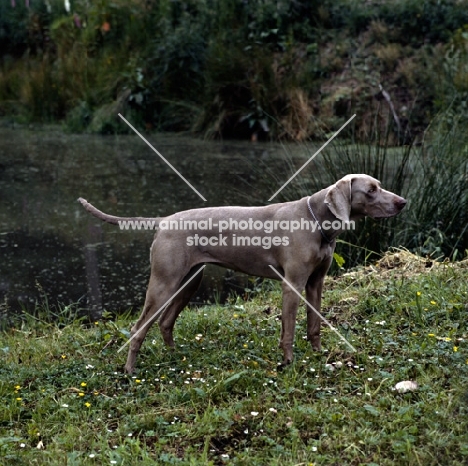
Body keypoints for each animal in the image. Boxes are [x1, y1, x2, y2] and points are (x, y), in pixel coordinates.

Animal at [79, 173, 406, 374]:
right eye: (371, 190)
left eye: (378, 185)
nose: (403, 202)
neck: (316, 221)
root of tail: (164, 220)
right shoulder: (292, 284)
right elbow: (288, 331)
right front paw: (288, 364)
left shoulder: (316, 283)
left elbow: (314, 325)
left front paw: (317, 356)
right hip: (164, 283)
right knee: (138, 328)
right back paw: (129, 370)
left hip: (189, 281)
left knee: (165, 322)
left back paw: (174, 358)